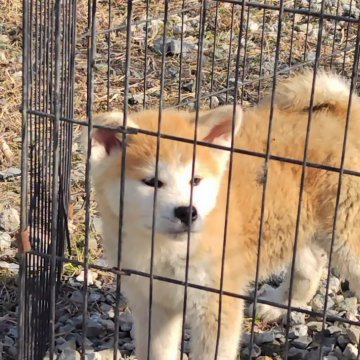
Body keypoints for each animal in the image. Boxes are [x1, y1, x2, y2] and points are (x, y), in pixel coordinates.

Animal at [86, 71, 360, 360]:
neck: (163, 250)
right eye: (152, 182)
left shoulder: (215, 303)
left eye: (195, 180)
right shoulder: (152, 301)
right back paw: (282, 304)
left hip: (345, 235)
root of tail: (342, 114)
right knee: (310, 265)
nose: (187, 212)